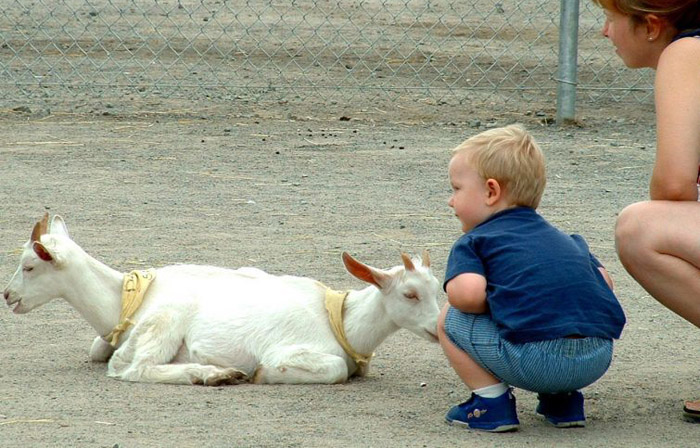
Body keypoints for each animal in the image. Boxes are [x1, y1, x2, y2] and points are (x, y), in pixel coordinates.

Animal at [5, 214, 440, 384]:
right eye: (410, 293)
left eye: (29, 266)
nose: (7, 295)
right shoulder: (296, 348)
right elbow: (331, 368)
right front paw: (263, 372)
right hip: (166, 321)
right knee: (136, 369)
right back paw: (214, 374)